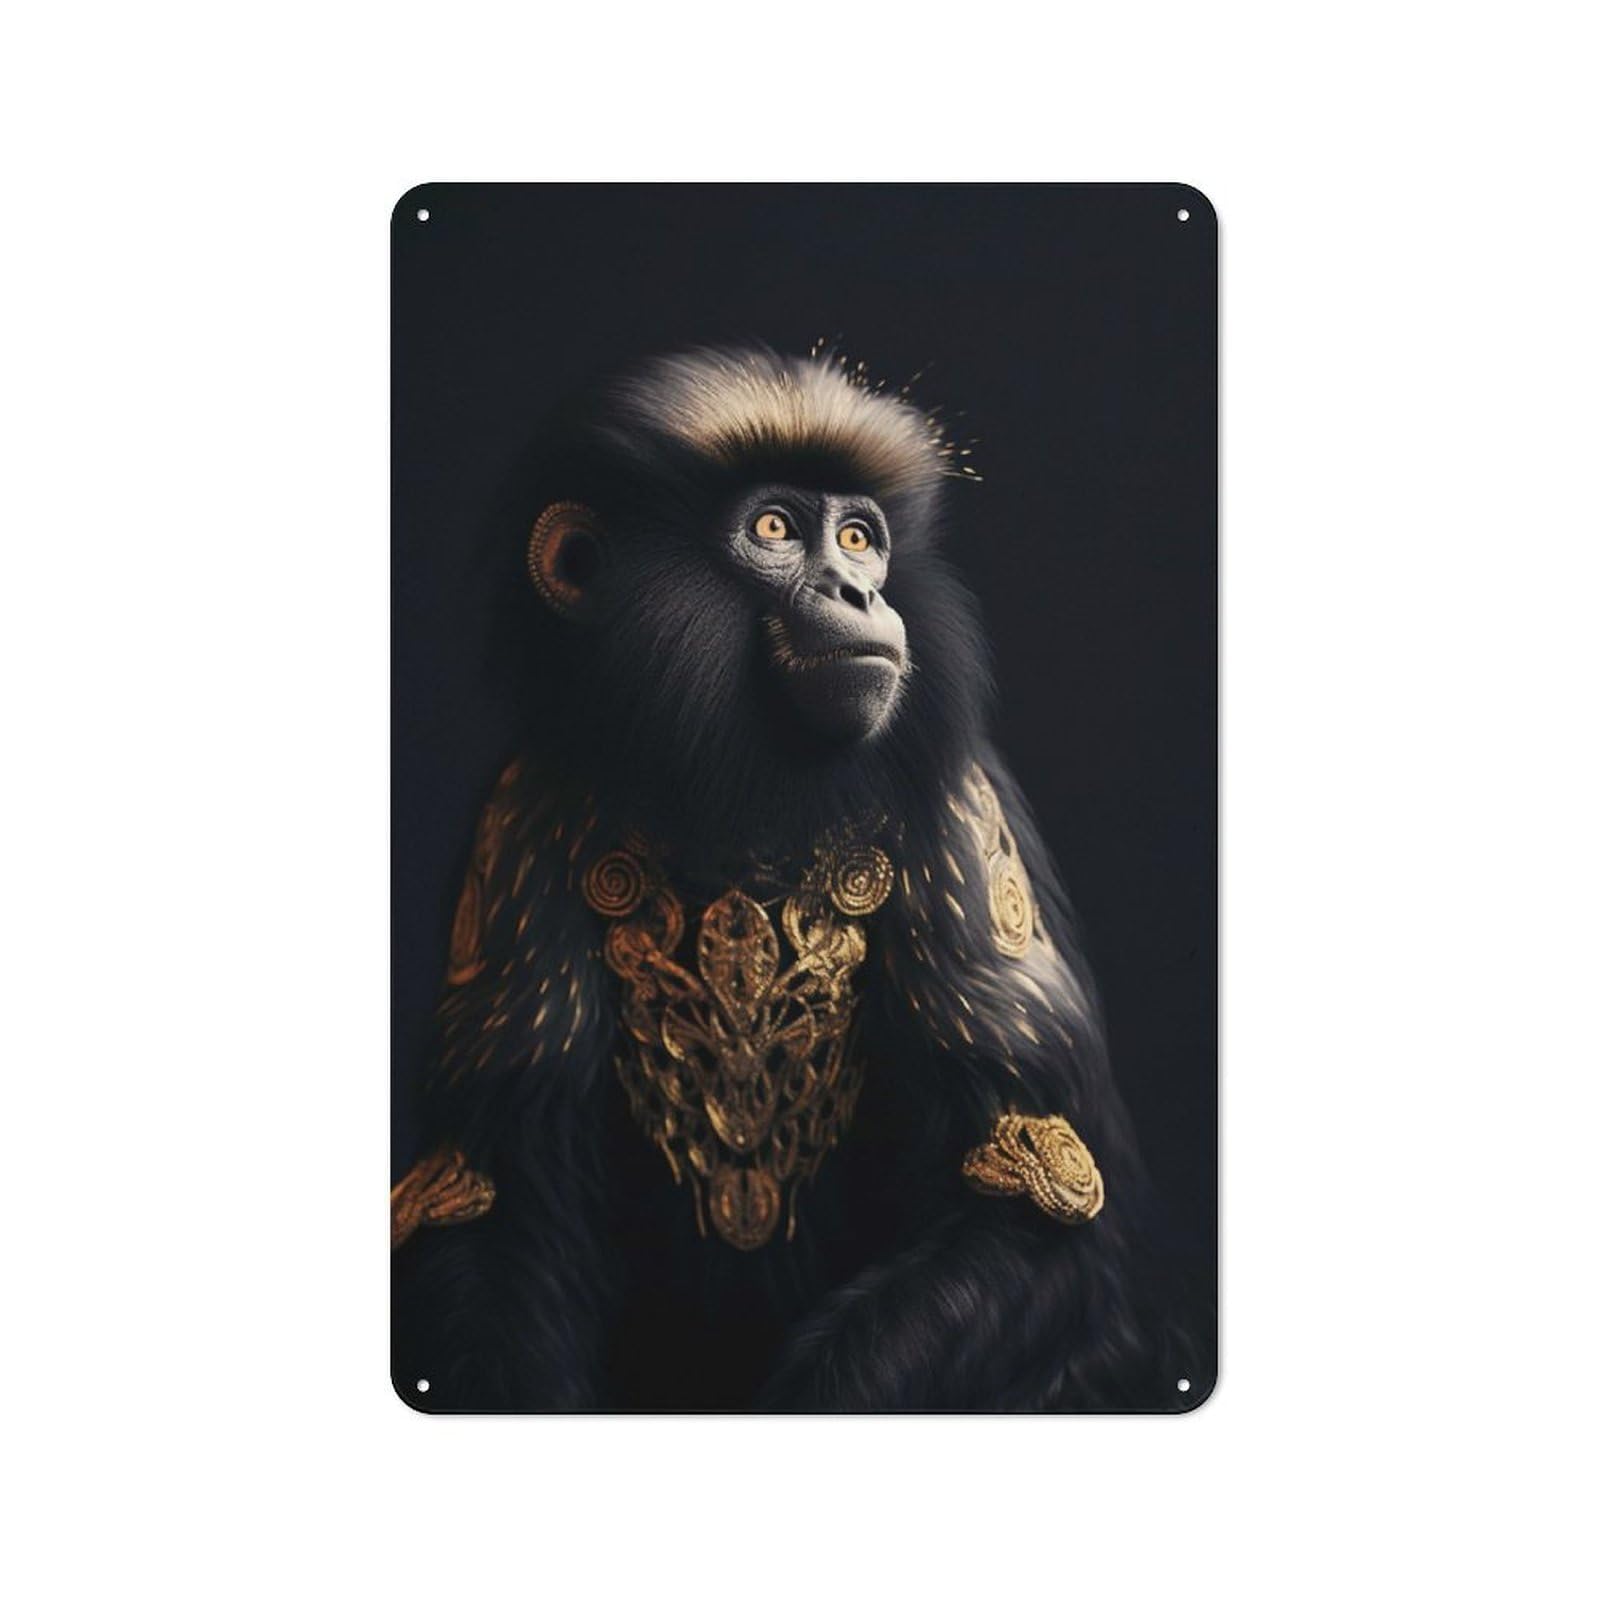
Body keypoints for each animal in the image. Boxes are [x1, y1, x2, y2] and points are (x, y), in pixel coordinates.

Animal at [392, 344, 1191, 1411]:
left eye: (858, 538)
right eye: (773, 528)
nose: (859, 593)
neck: (738, 800)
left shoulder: (961, 817)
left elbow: (1038, 1192)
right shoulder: (516, 824)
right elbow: (483, 1206)